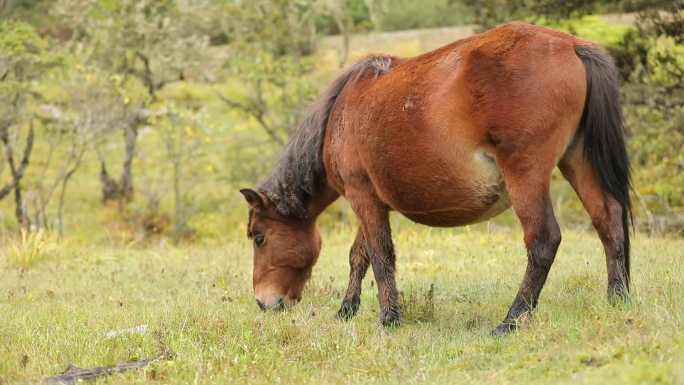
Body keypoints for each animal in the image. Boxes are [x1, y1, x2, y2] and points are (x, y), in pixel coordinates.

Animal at [240, 21, 632, 334]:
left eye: (259, 238)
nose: (263, 301)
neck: (341, 113)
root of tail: (571, 45)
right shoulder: (371, 200)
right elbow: (359, 255)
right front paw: (346, 311)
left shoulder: (361, 196)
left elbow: (380, 255)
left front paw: (389, 319)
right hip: (577, 162)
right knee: (608, 221)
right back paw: (618, 299)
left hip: (526, 175)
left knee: (543, 241)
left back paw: (511, 320)